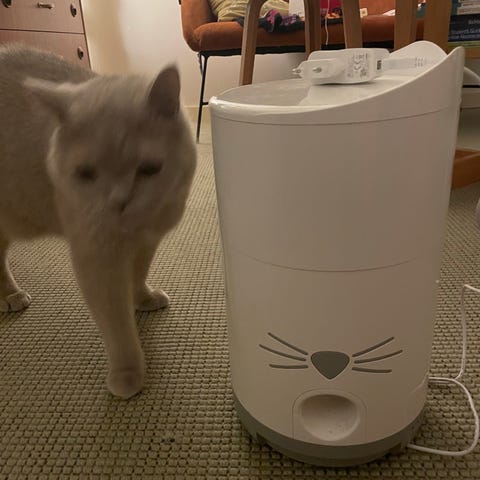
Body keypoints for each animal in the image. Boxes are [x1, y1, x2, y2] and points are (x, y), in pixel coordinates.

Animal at [0, 44, 197, 399]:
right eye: (85, 174)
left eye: (149, 169)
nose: (118, 200)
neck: (137, 226)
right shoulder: (98, 255)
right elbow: (117, 324)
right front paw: (127, 375)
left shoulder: (148, 241)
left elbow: (139, 274)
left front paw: (143, 299)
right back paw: (11, 296)